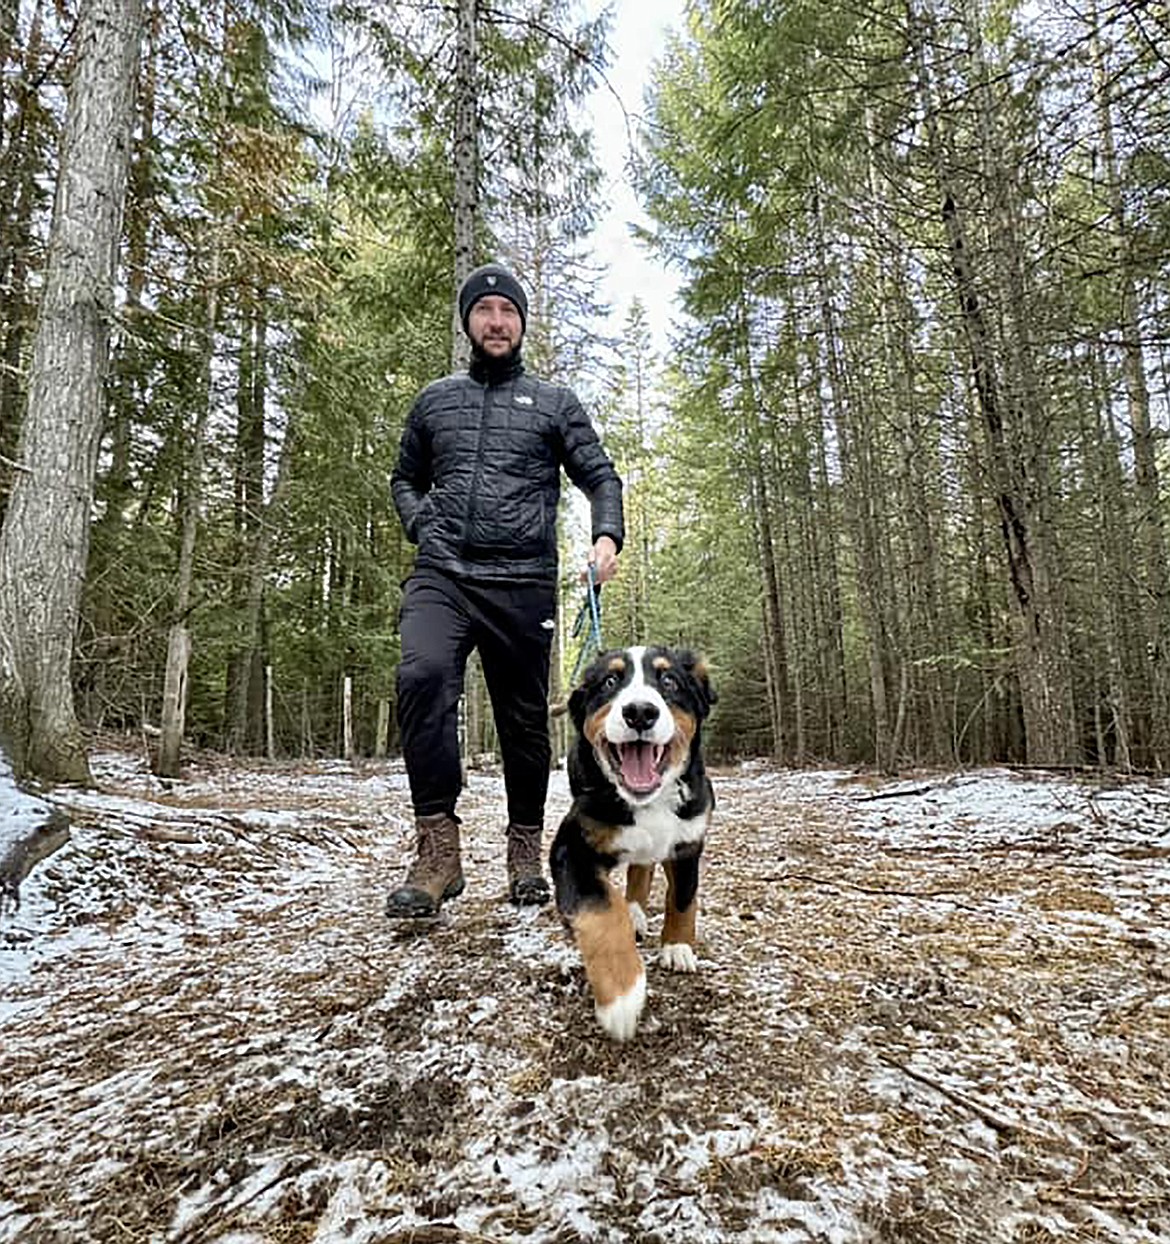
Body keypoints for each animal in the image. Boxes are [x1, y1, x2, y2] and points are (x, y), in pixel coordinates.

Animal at [547, 641, 711, 1039]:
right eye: (609, 681)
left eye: (669, 680)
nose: (639, 712)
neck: (648, 802)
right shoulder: (572, 847)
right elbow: (604, 910)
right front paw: (622, 996)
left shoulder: (688, 839)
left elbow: (683, 897)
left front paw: (677, 946)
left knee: (643, 865)